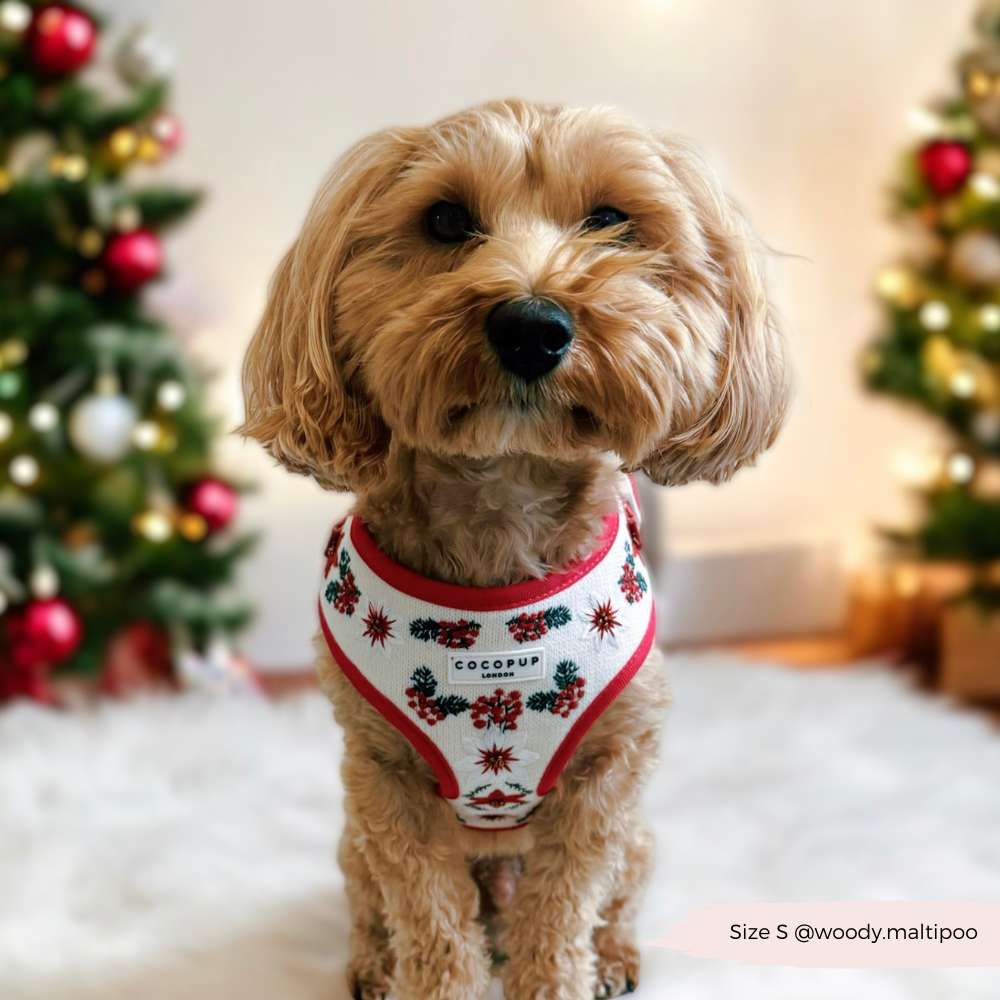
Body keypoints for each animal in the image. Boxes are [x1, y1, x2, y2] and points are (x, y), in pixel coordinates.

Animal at [242, 99, 788, 1000]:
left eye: (610, 219)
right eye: (444, 219)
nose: (533, 325)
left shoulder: (609, 776)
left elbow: (561, 914)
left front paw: (564, 974)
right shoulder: (383, 781)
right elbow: (430, 925)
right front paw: (426, 976)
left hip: (639, 838)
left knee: (612, 903)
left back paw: (615, 960)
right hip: (352, 838)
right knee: (372, 906)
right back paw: (371, 966)